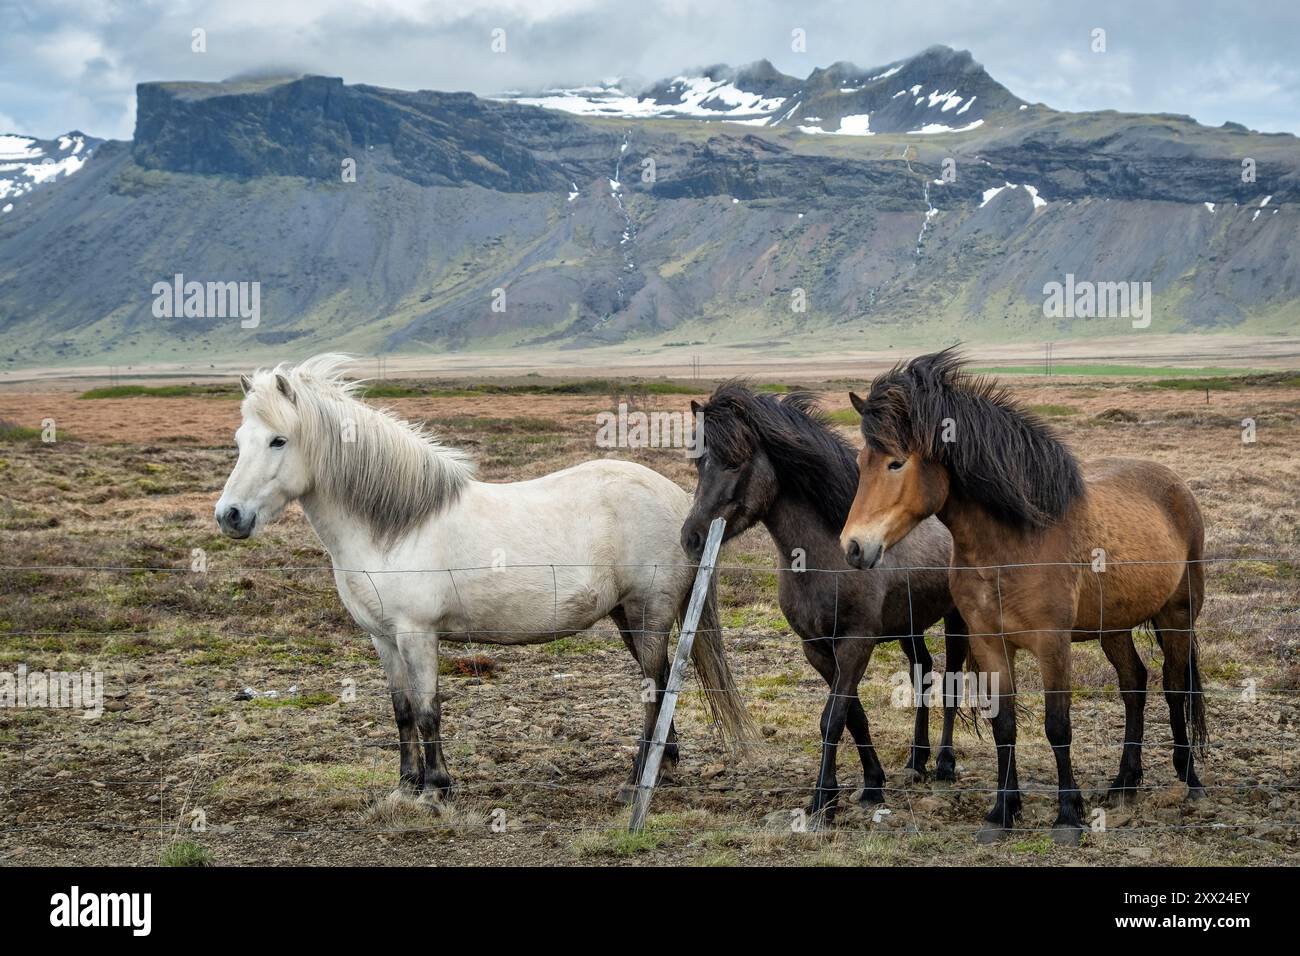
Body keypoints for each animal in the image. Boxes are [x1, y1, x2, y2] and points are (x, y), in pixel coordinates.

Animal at [214, 354, 752, 803]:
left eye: (279, 440)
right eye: (239, 442)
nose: (230, 516)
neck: (394, 527)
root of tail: (677, 500)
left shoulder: (417, 635)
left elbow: (428, 708)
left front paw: (436, 788)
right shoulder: (383, 639)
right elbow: (402, 710)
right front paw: (405, 786)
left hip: (648, 612)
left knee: (653, 685)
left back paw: (638, 778)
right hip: (625, 615)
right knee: (657, 683)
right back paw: (662, 765)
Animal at [679, 382, 969, 825]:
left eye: (735, 463)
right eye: (699, 463)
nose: (691, 537)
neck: (826, 552)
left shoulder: (855, 644)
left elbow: (832, 719)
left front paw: (823, 800)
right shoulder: (816, 647)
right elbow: (854, 715)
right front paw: (872, 783)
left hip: (956, 619)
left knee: (951, 680)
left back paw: (944, 764)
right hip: (910, 625)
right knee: (922, 672)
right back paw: (916, 761)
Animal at [840, 349, 1207, 845]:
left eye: (896, 463)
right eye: (862, 462)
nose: (854, 547)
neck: (1014, 542)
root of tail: (1176, 484)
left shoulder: (1052, 645)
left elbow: (1057, 725)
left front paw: (1068, 815)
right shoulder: (990, 643)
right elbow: (1004, 724)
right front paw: (1002, 811)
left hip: (1177, 614)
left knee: (1174, 685)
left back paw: (1190, 778)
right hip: (1113, 626)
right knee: (1134, 684)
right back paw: (1124, 782)